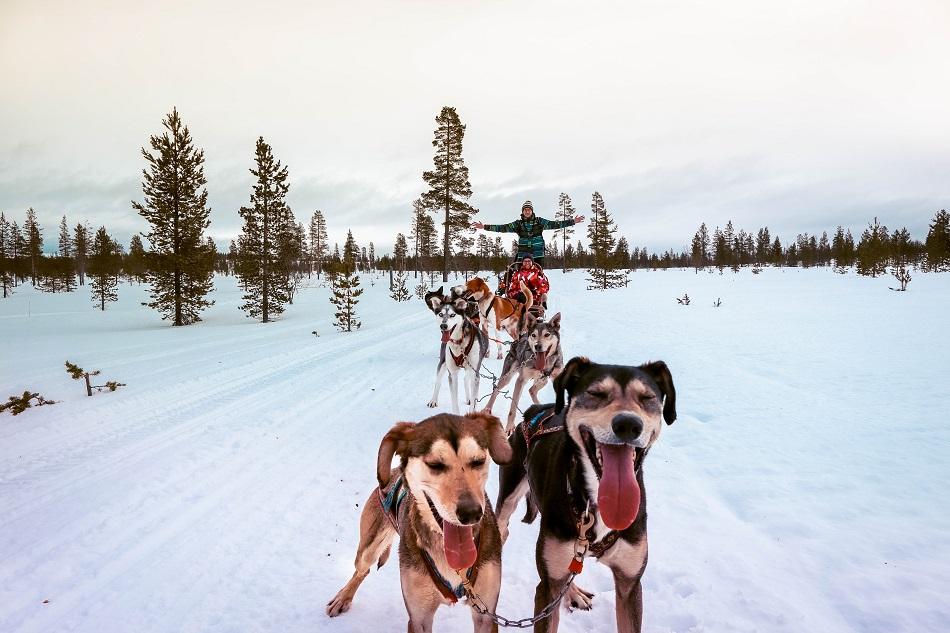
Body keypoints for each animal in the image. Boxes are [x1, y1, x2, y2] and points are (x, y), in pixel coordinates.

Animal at [330, 412, 516, 628]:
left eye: (478, 461)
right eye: (435, 464)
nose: (471, 513)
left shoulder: (485, 614)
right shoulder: (419, 617)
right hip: (369, 547)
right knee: (362, 570)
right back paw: (344, 597)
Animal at [490, 358, 676, 628]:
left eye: (647, 397)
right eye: (596, 393)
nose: (628, 424)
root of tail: (535, 411)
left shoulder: (630, 584)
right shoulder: (546, 588)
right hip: (510, 498)